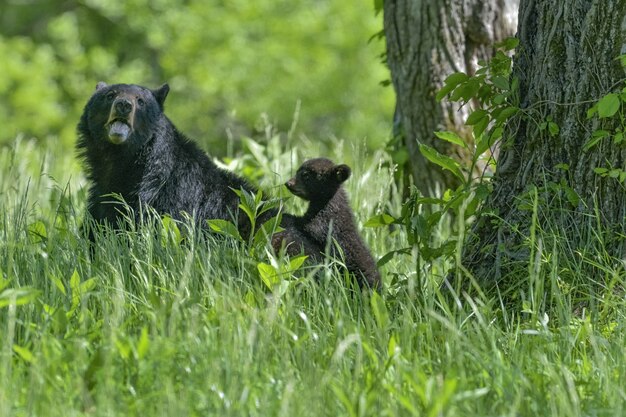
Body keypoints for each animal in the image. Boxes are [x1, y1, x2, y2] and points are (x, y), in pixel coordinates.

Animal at [272, 158, 380, 288]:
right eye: (298, 171)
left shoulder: (323, 221)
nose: (288, 183)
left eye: (306, 175)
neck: (327, 203)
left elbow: (307, 226)